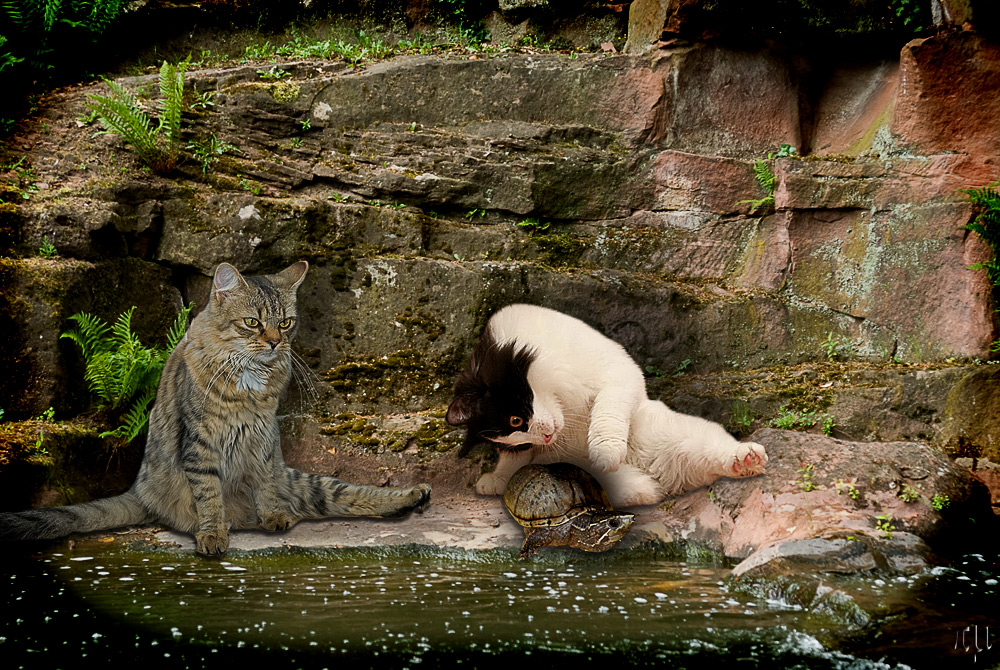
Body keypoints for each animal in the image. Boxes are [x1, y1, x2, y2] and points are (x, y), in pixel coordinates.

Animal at [0, 262, 430, 556]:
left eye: (286, 323)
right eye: (252, 323)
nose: (275, 343)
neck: (251, 378)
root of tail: (139, 491)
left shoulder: (264, 436)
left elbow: (266, 485)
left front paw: (273, 517)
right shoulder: (201, 441)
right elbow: (207, 494)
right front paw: (211, 534)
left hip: (299, 479)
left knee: (345, 493)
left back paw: (413, 496)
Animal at [446, 306, 764, 510]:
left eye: (515, 420)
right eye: (518, 439)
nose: (546, 438)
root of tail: (655, 478)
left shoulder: (618, 372)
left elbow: (607, 409)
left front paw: (605, 452)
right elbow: (512, 463)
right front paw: (498, 478)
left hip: (673, 436)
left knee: (712, 449)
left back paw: (746, 459)